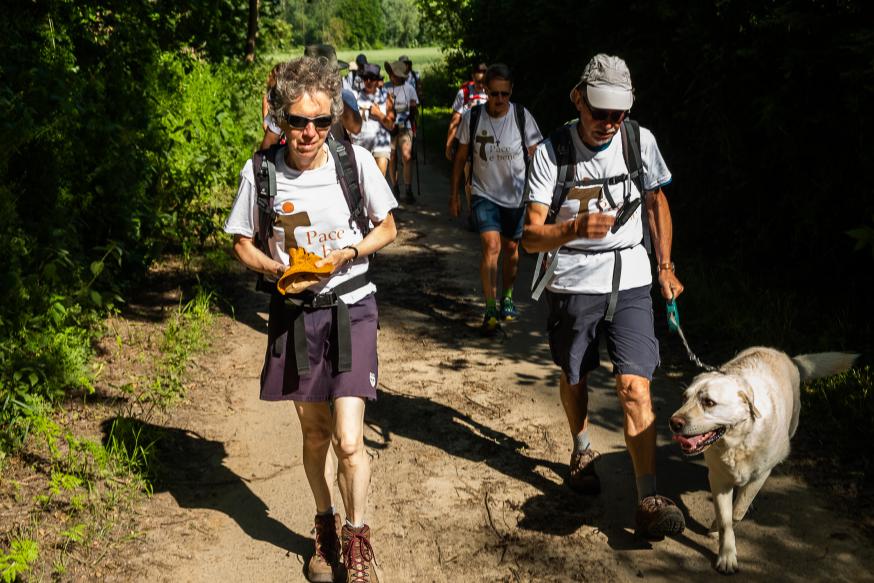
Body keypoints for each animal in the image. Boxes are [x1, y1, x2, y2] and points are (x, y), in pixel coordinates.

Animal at [672, 346, 856, 576]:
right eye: (683, 398)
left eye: (709, 403)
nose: (673, 423)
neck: (739, 439)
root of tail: (786, 357)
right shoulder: (718, 478)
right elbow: (725, 520)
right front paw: (726, 553)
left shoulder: (761, 474)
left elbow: (737, 511)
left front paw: (723, 530)